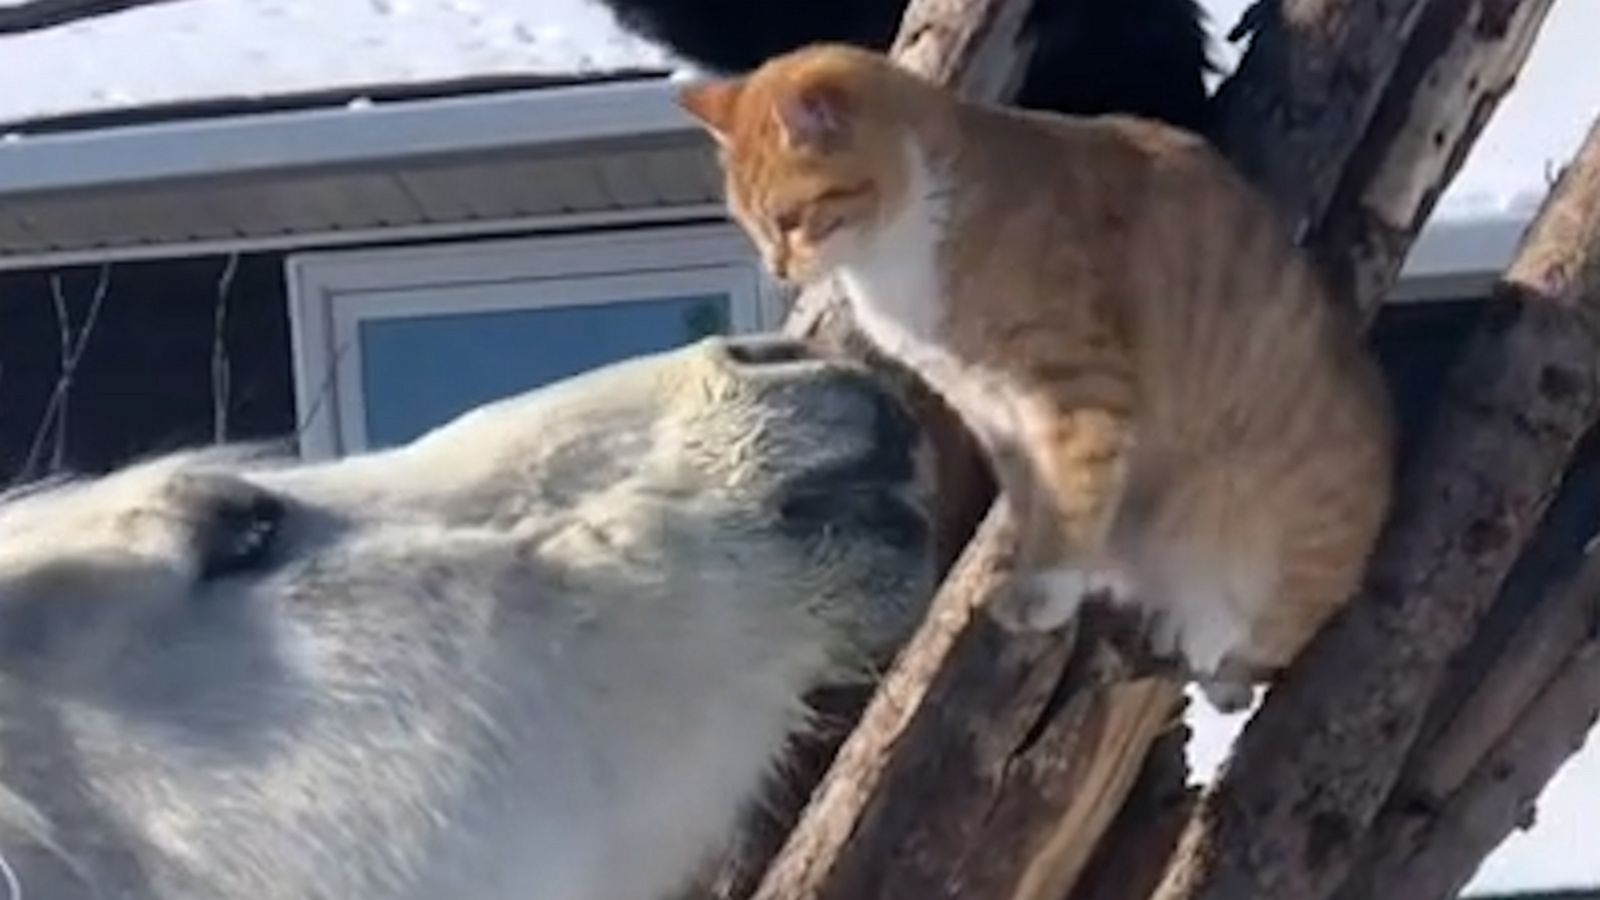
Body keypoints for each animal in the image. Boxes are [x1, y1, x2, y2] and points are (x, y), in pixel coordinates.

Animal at [681, 45, 1395, 707]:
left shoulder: (1079, 392)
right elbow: (1034, 499)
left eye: (791, 219)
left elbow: (1072, 501)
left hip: (1257, 523)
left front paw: (1045, 590)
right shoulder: (992, 410)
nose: (778, 269)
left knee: (1265, 633)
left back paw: (1207, 632)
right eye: (750, 227)